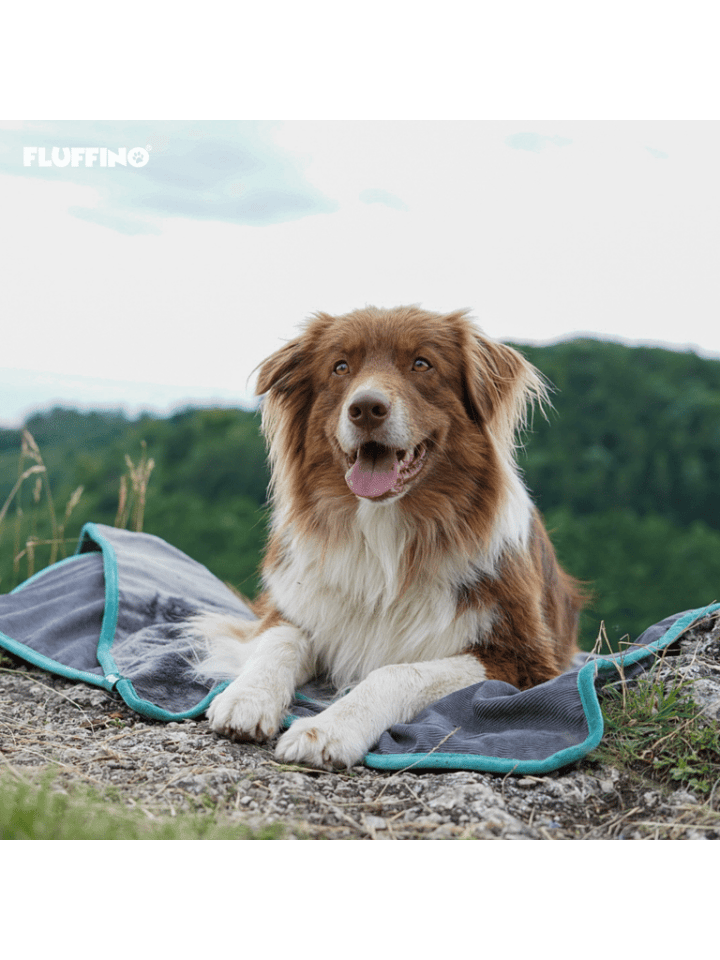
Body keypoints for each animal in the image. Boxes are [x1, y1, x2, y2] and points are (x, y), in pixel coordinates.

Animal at [195, 308, 584, 772]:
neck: (385, 532)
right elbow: (279, 643)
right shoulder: (294, 607)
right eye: (340, 367)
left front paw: (328, 729)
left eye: (421, 364)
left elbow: (396, 671)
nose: (366, 408)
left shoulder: (524, 659)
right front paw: (246, 697)